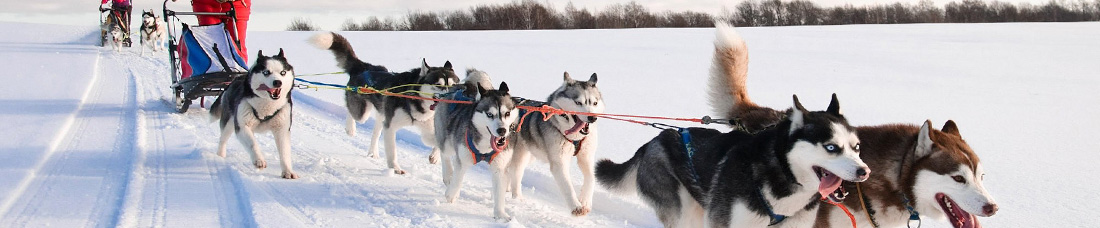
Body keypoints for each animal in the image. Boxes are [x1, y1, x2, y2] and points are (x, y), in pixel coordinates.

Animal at [207, 49, 297, 179]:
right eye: (266, 72)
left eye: (283, 72)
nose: (278, 82)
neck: (267, 107)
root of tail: (236, 79)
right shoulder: (242, 127)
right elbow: (252, 144)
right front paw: (259, 160)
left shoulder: (282, 130)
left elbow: (284, 152)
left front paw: (288, 171)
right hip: (229, 123)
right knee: (223, 139)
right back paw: (220, 155)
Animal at [310, 32, 459, 174]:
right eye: (438, 85)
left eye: (454, 85)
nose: (452, 96)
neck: (415, 100)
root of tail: (363, 66)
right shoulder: (391, 127)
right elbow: (392, 151)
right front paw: (395, 168)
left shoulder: (427, 128)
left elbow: (438, 142)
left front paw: (435, 157)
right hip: (362, 112)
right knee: (351, 111)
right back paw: (350, 128)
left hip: (382, 114)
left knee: (376, 132)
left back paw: (373, 152)